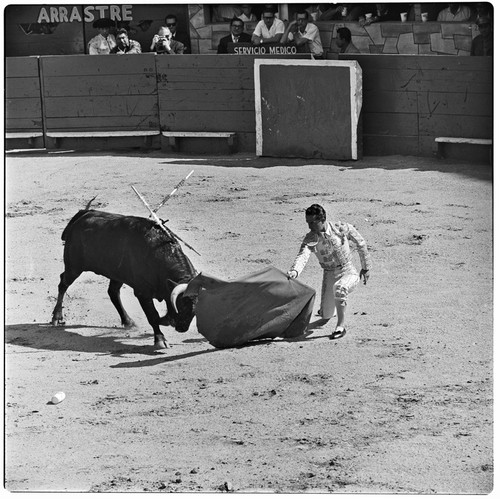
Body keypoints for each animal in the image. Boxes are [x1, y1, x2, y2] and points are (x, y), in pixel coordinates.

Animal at [50, 206, 197, 348]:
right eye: (182, 305)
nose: (182, 328)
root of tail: (84, 214)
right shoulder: (142, 293)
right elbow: (153, 315)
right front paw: (160, 340)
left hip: (116, 274)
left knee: (113, 292)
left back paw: (127, 321)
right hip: (74, 267)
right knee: (63, 284)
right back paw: (56, 317)